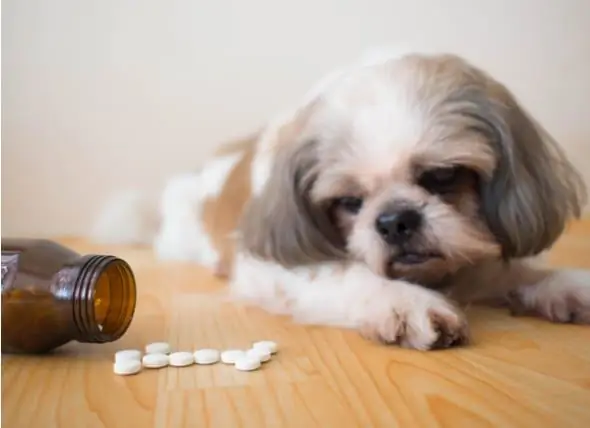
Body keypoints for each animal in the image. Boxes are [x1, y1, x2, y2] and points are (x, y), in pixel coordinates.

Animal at [95, 48, 588, 350]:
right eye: (349, 201)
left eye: (442, 176)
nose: (395, 220)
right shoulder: (274, 266)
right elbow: (344, 274)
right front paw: (401, 300)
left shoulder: (468, 256)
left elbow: (515, 271)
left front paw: (563, 285)